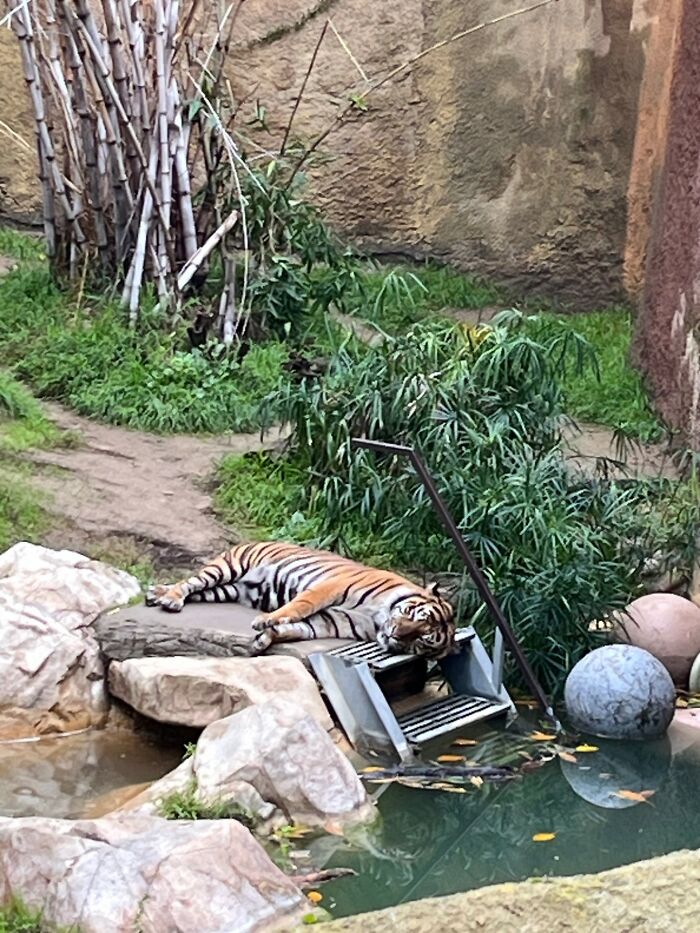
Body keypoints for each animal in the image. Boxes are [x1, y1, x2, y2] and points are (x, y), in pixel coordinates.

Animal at [145, 541, 456, 659]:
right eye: (413, 616)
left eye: (422, 641)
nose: (395, 635)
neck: (379, 620)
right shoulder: (331, 587)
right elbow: (300, 605)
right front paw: (265, 620)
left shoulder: (333, 620)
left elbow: (298, 629)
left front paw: (265, 638)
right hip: (227, 568)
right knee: (189, 582)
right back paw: (169, 599)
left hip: (229, 589)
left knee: (197, 590)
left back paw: (155, 594)